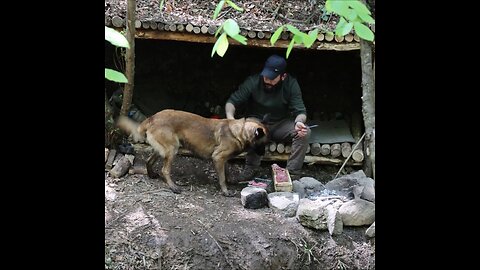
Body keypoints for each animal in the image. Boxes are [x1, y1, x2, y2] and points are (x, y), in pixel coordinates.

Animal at [115, 109, 268, 196]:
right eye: (265, 142)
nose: (263, 153)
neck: (240, 132)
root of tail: (152, 118)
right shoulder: (218, 157)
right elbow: (222, 178)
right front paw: (225, 191)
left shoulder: (223, 159)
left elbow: (226, 173)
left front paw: (230, 182)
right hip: (172, 149)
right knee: (165, 170)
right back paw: (173, 187)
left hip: (162, 149)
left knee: (149, 161)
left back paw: (152, 174)